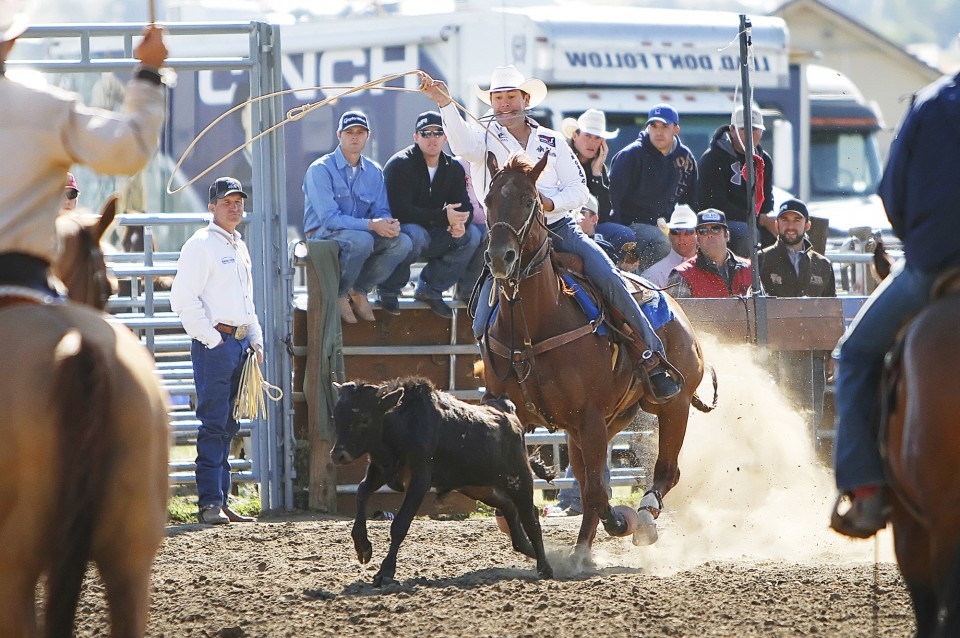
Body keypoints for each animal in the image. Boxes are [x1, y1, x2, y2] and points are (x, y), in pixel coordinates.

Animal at [484, 154, 716, 560]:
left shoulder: (589, 416)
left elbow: (595, 491)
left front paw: (613, 526)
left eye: (529, 200)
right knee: (593, 481)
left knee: (664, 472)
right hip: (606, 421)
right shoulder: (522, 413)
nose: (501, 257)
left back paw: (641, 520)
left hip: (672, 406)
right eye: (487, 200)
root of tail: (673, 302)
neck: (536, 323)